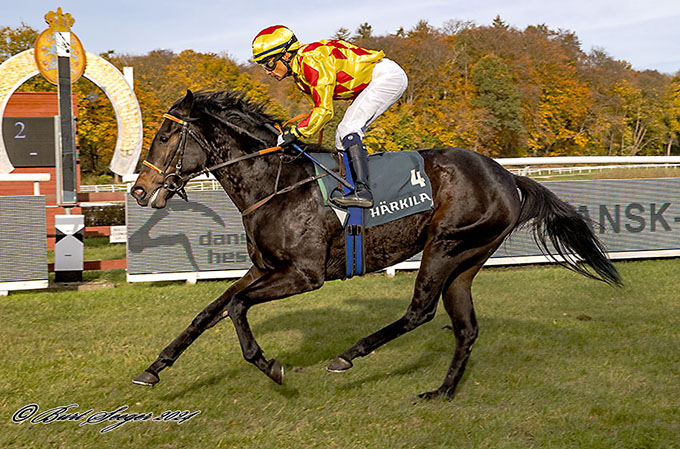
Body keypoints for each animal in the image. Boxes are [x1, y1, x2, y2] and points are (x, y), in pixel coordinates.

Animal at [129, 89, 620, 398]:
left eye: (166, 136)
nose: (138, 191)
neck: (277, 184)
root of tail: (507, 176)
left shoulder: (303, 275)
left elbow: (235, 307)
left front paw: (270, 365)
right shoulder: (264, 268)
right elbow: (209, 311)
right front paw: (154, 369)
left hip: (445, 245)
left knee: (420, 311)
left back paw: (348, 356)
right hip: (467, 260)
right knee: (465, 327)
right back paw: (442, 392)